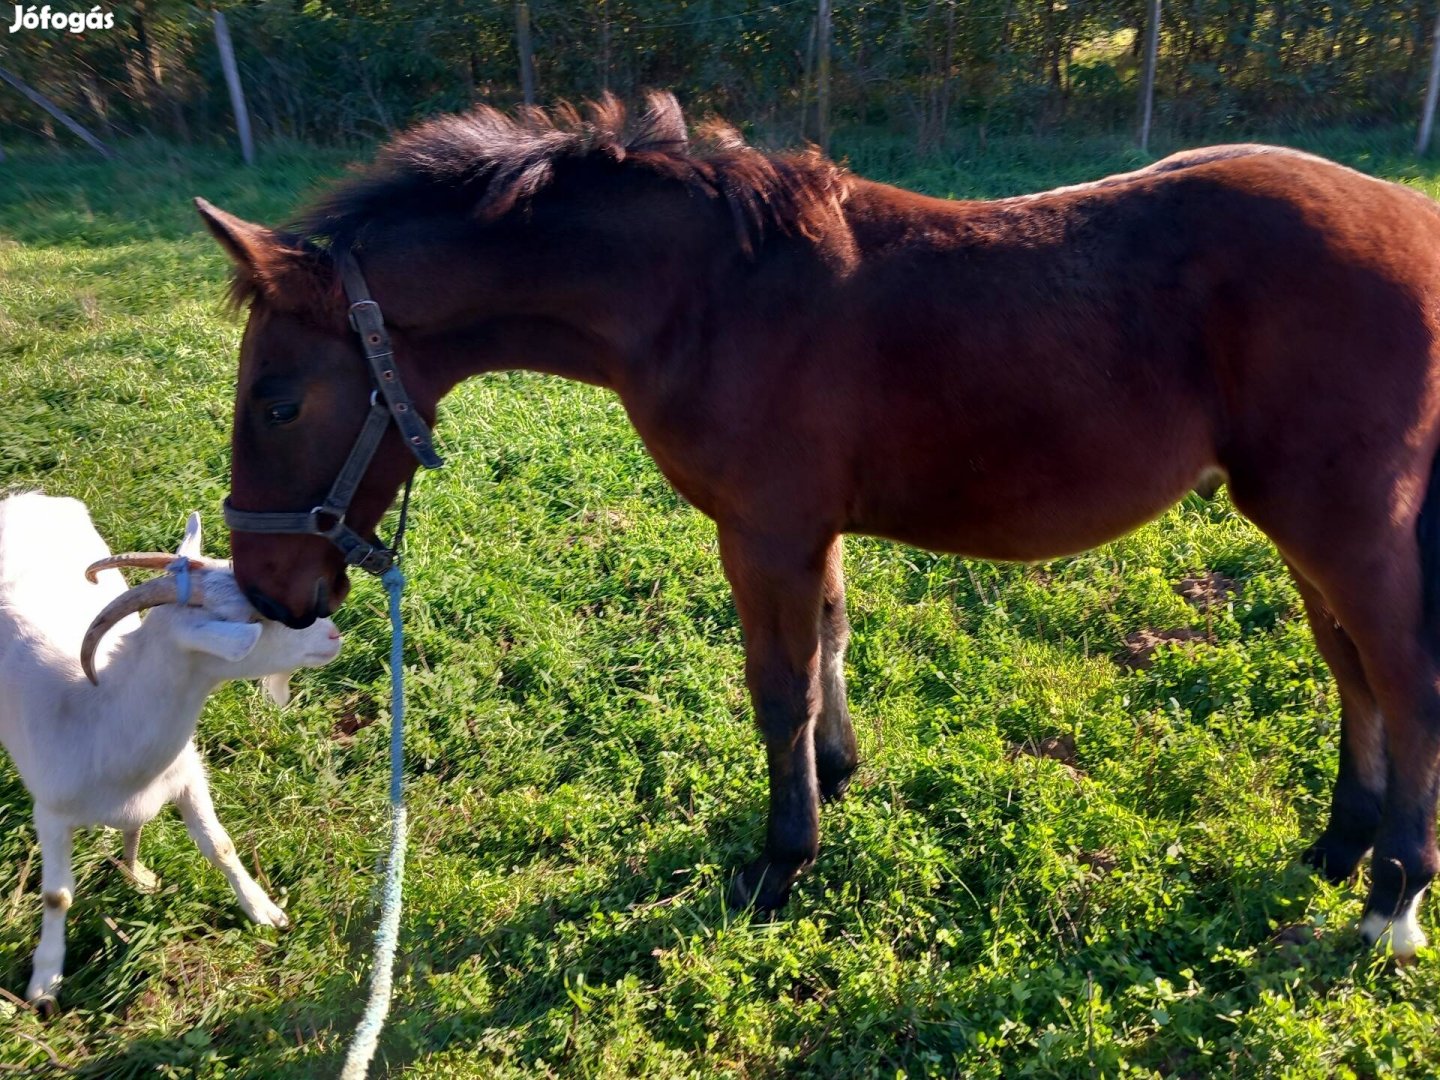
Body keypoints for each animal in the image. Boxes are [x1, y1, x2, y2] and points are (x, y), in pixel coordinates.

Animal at [0, 492, 341, 1013]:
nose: (333, 635)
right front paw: (45, 982)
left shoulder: (186, 776)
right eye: (253, 618)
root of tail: (25, 497)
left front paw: (262, 909)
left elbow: (220, 845)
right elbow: (57, 896)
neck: (96, 715)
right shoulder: (51, 813)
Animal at [197, 92, 1440, 956]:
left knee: (1403, 675)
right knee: (1352, 670)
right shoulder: (807, 529)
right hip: (1300, 522)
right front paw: (836, 775)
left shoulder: (763, 532)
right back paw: (1341, 846)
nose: (268, 588)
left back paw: (1392, 896)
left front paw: (782, 857)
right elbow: (831, 646)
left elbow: (777, 685)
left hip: (1338, 519)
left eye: (278, 400)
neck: (709, 296)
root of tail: (1414, 214)